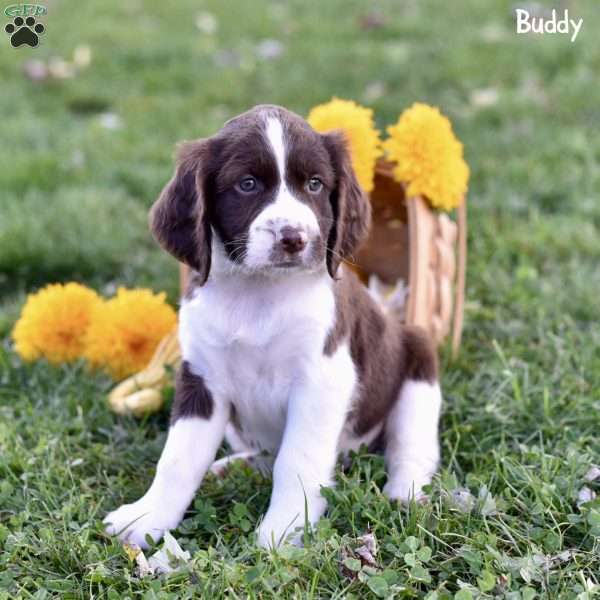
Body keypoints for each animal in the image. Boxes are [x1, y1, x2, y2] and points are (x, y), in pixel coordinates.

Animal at [103, 104, 440, 548]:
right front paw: (146, 517)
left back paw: (406, 493)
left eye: (315, 184)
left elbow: (296, 462)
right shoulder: (201, 379)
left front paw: (283, 531)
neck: (259, 293)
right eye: (247, 185)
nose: (294, 238)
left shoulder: (321, 381)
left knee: (411, 447)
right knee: (265, 453)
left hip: (418, 362)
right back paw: (232, 467)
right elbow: (177, 458)